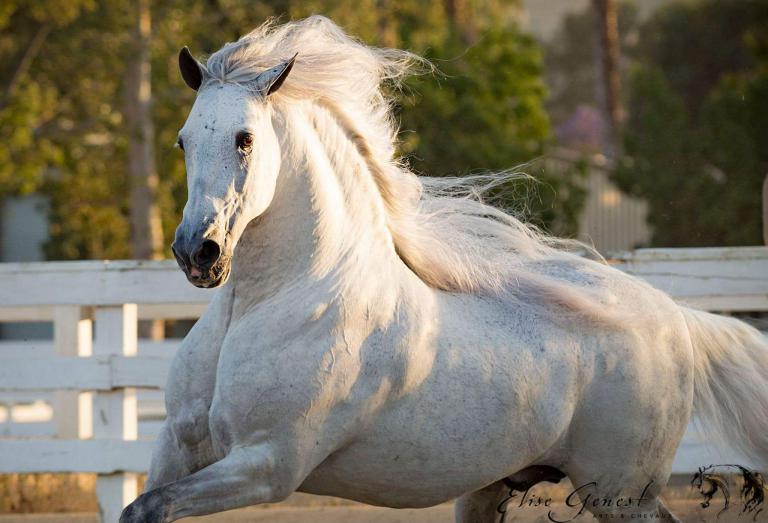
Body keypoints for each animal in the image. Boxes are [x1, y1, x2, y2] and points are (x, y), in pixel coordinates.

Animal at [120, 16, 768, 523]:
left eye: (245, 139)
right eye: (182, 141)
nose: (197, 253)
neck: (274, 301)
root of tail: (677, 318)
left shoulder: (268, 464)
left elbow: (147, 507)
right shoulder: (177, 446)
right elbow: (140, 504)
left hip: (618, 493)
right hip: (494, 490)